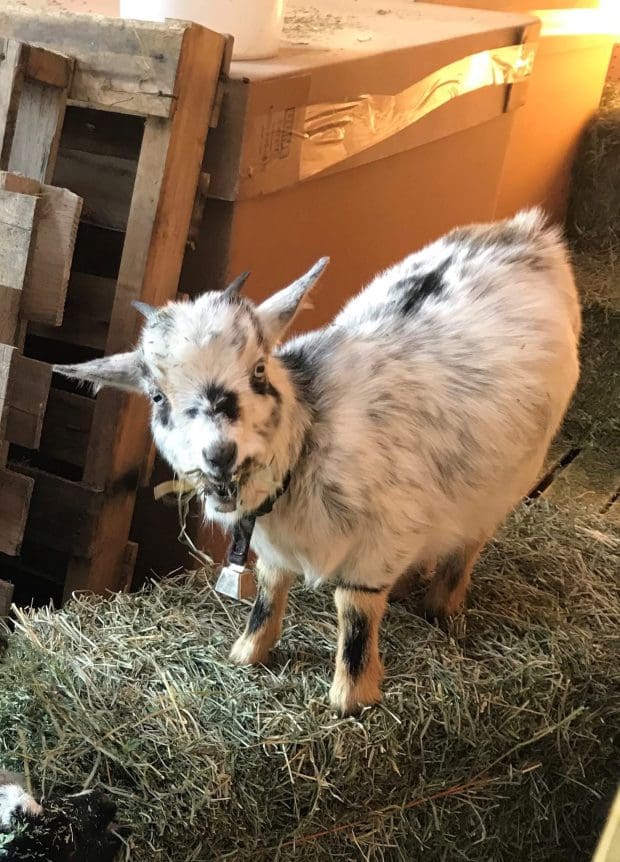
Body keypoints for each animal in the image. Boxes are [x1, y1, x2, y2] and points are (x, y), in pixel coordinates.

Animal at [56, 209, 581, 716]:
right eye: (157, 396)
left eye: (259, 370)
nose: (220, 454)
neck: (310, 437)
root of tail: (527, 232)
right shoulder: (273, 548)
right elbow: (269, 592)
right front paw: (248, 652)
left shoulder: (382, 539)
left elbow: (355, 610)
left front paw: (353, 696)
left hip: (506, 480)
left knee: (469, 542)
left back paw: (442, 606)